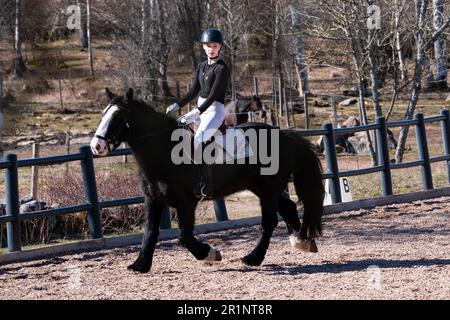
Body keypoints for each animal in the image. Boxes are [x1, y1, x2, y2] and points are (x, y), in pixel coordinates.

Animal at [90, 89, 324, 274]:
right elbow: (149, 233)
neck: (164, 150)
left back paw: (253, 258)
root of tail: (285, 135)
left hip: (268, 189)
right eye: (103, 114)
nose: (96, 146)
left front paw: (210, 253)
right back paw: (302, 241)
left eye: (118, 116)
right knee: (288, 207)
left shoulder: (187, 202)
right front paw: (140, 265)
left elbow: (184, 237)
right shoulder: (153, 200)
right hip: (262, 188)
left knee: (270, 221)